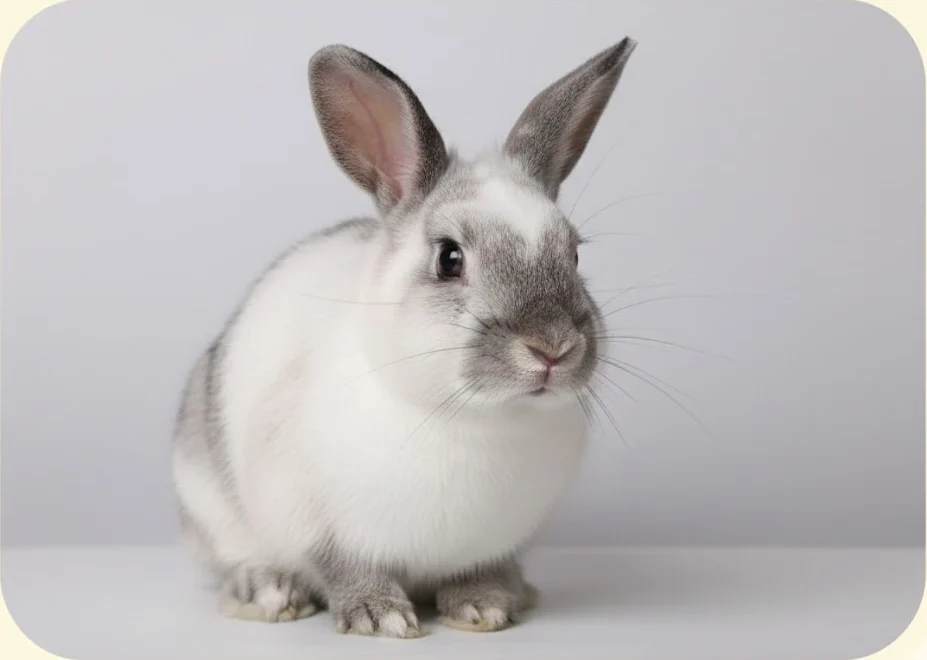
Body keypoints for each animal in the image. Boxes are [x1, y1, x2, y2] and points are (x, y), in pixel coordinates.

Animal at [172, 38, 637, 638]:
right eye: (449, 258)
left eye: (575, 254)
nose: (553, 347)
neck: (474, 418)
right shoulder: (316, 519)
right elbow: (344, 566)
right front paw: (379, 617)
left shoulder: (494, 542)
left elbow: (480, 571)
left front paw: (484, 607)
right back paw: (268, 592)